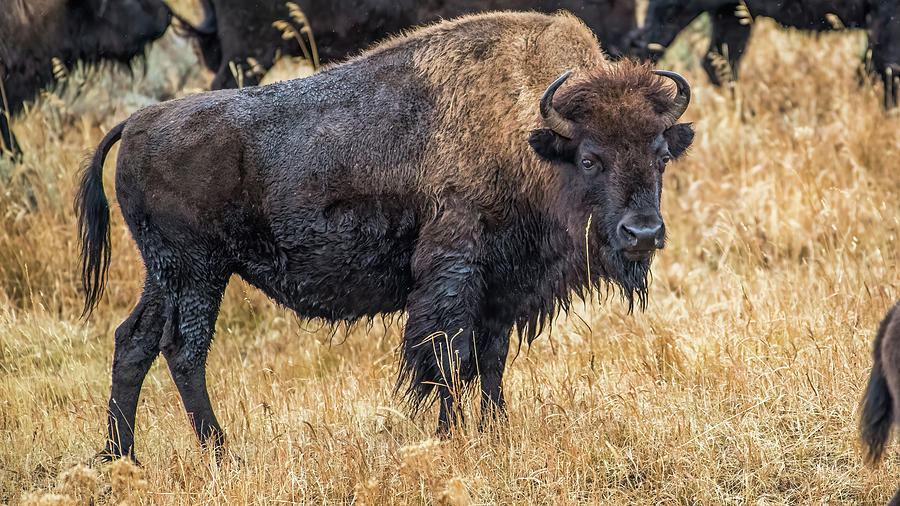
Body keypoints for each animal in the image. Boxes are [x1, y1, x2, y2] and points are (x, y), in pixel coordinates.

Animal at [79, 9, 696, 460]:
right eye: (590, 159)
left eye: (661, 156)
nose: (643, 233)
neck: (529, 134)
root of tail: (137, 122)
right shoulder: (454, 274)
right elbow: (446, 356)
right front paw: (449, 436)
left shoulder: (506, 288)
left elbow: (491, 360)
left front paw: (496, 431)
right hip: (197, 272)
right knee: (183, 349)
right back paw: (221, 453)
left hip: (165, 275)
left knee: (133, 341)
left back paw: (120, 457)